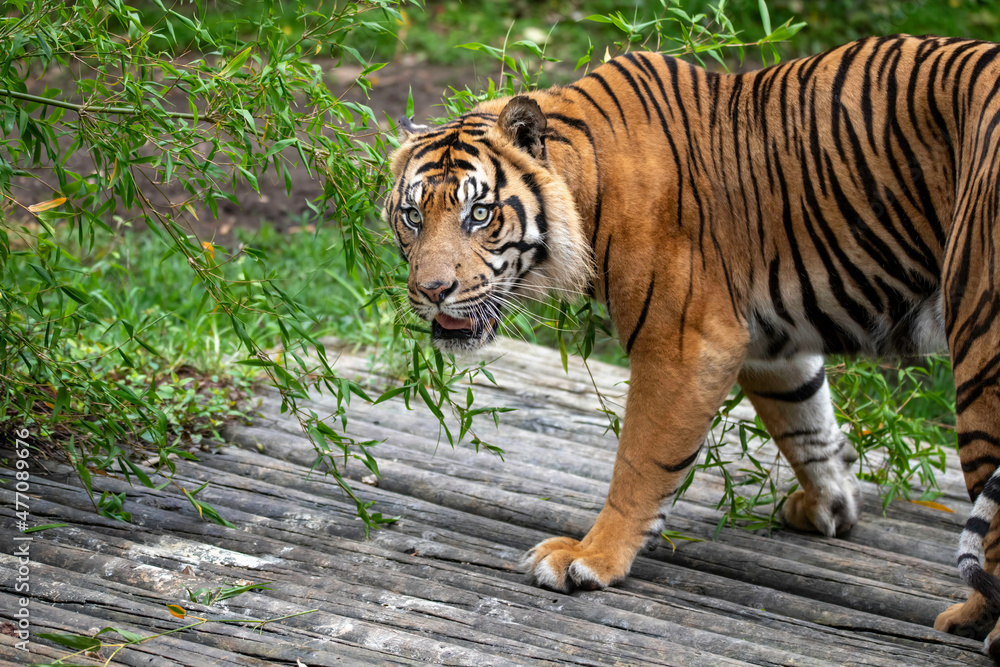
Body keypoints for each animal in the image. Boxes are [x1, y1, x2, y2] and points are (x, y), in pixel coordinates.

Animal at [384, 34, 1000, 657]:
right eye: (412, 215)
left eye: (479, 213)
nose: (431, 291)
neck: (588, 177)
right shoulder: (768, 340)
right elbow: (806, 424)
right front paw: (833, 504)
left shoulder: (683, 341)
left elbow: (641, 461)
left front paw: (591, 558)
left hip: (981, 343)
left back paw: (976, 620)